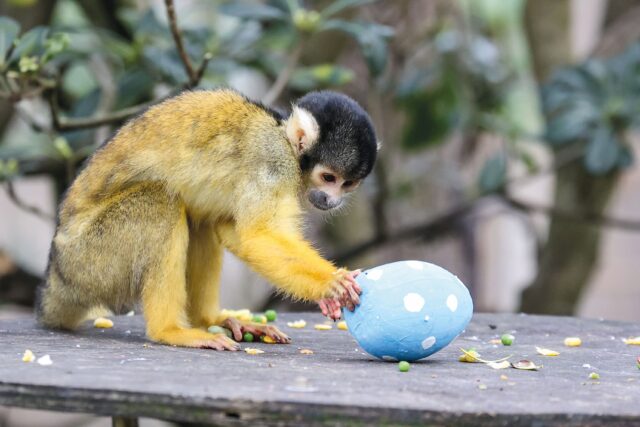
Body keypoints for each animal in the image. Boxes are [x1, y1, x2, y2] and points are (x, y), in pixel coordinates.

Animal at [37, 88, 378, 350]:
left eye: (347, 184)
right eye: (328, 177)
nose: (332, 200)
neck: (286, 141)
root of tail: (56, 279)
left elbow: (233, 230)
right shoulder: (272, 161)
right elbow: (258, 234)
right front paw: (331, 283)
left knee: (199, 219)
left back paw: (209, 320)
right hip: (92, 261)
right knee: (160, 203)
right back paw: (169, 330)